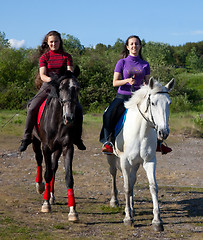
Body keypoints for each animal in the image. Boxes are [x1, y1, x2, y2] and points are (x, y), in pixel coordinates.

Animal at [32, 65, 81, 221]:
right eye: (61, 88)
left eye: (77, 88)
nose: (69, 117)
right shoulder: (46, 147)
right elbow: (47, 174)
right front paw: (45, 204)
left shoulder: (67, 147)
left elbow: (68, 177)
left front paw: (73, 211)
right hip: (36, 142)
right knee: (39, 161)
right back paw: (40, 186)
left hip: (57, 149)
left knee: (53, 168)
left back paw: (51, 195)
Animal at [107, 78, 175, 232]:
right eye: (153, 103)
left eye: (169, 103)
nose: (163, 132)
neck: (140, 131)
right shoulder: (125, 162)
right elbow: (126, 187)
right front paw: (128, 219)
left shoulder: (149, 161)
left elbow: (153, 187)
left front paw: (157, 221)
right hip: (111, 157)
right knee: (113, 174)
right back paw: (115, 201)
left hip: (136, 163)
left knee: (132, 180)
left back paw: (132, 209)